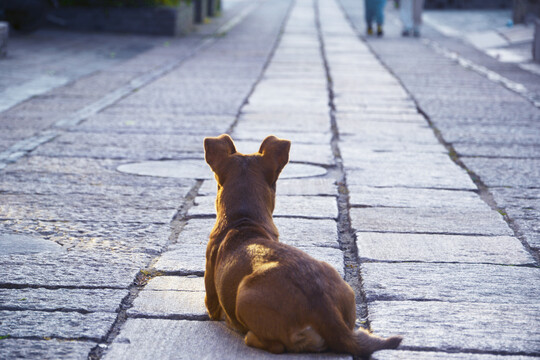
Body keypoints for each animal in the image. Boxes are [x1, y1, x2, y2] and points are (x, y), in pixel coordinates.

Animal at [202, 134, 400, 356]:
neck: (243, 220)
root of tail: (324, 308)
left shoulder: (212, 301)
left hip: (244, 297)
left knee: (278, 345)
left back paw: (251, 336)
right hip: (344, 290)